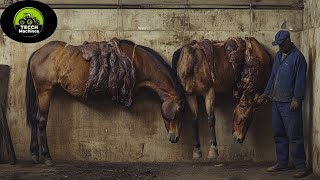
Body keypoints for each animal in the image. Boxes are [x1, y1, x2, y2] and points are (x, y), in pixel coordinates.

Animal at [25, 38, 185, 165]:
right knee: (41, 121)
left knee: (34, 117)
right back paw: (47, 157)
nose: (175, 137)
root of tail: (37, 51)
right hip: (45, 91)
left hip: (39, 93)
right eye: (179, 112)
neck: (137, 62)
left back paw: (34, 154)